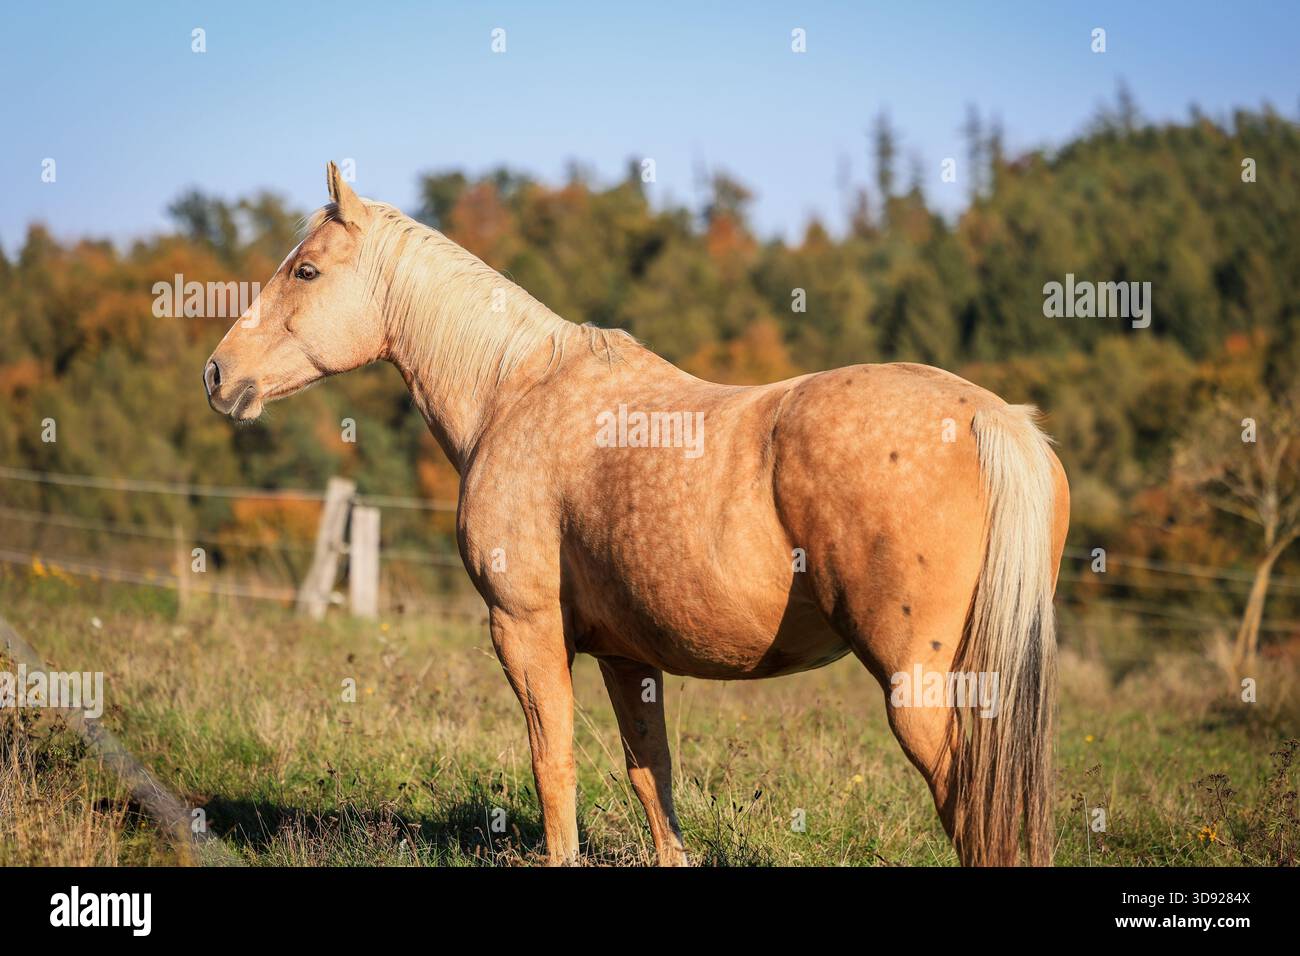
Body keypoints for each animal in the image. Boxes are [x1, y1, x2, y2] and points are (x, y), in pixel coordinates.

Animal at [204, 163, 1070, 866]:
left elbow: (553, 766)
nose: (218, 374)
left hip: (918, 691)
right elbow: (651, 779)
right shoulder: (628, 657)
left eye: (306, 269)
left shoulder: (525, 631)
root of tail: (992, 419)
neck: (515, 391)